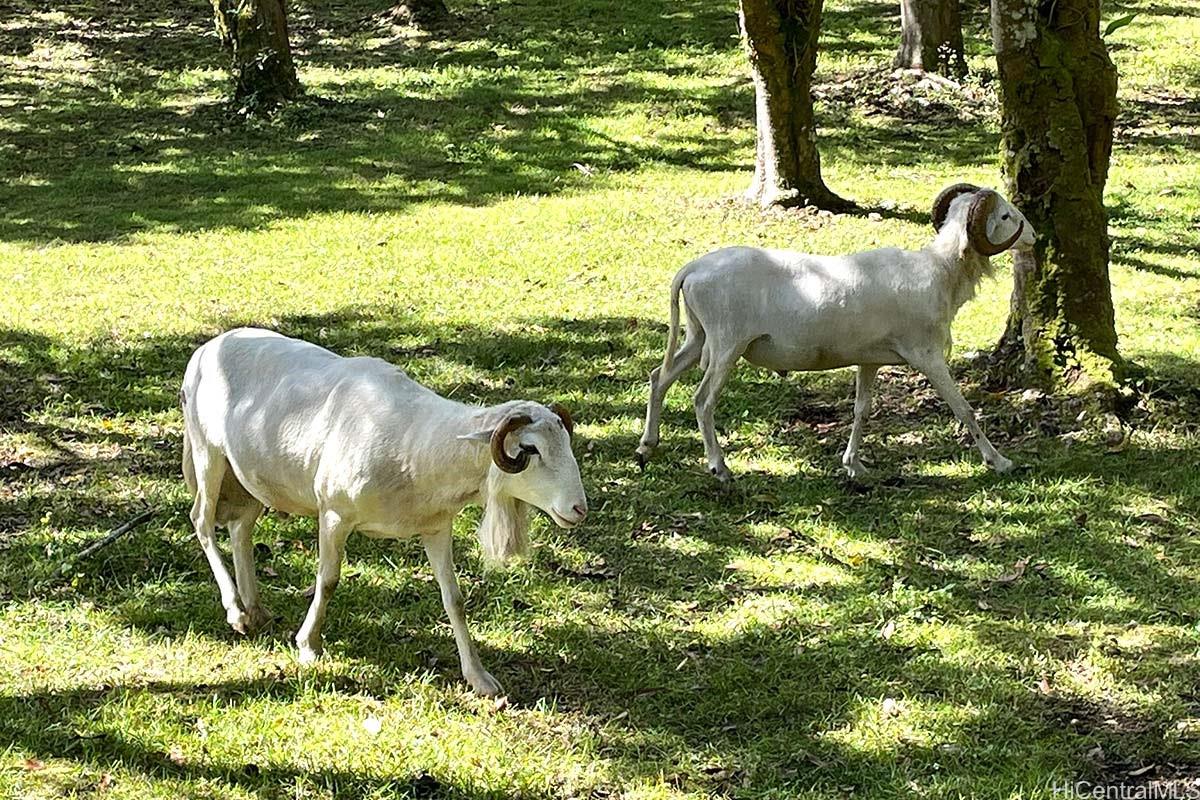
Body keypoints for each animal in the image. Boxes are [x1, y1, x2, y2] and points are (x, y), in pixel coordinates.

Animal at [180, 328, 588, 695]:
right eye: (530, 449)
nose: (579, 508)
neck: (416, 444)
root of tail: (206, 349)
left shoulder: (436, 527)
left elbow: (454, 599)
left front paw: (479, 678)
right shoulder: (334, 514)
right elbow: (328, 581)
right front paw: (309, 645)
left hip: (247, 475)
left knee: (240, 528)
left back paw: (254, 611)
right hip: (208, 453)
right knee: (202, 521)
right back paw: (235, 611)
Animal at [633, 182, 1036, 482]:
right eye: (1004, 215)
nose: (1032, 235)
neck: (940, 271)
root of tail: (693, 269)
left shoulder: (870, 360)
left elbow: (861, 410)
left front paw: (853, 465)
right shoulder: (927, 356)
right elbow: (964, 408)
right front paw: (1000, 462)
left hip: (697, 336)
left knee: (659, 377)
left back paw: (646, 448)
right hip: (725, 345)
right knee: (702, 400)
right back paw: (719, 467)